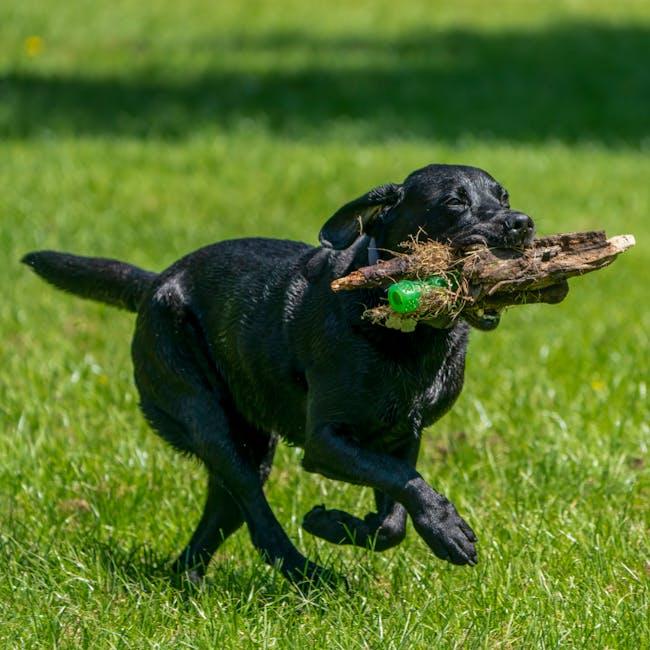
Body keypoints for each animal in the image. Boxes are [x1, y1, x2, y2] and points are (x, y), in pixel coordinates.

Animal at [22, 162, 536, 584]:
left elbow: (393, 517)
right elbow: (402, 481)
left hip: (249, 441)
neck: (400, 328)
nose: (521, 223)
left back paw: (189, 582)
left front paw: (338, 524)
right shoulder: (324, 443)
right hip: (206, 420)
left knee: (220, 517)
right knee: (259, 521)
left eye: (503, 196)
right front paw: (447, 531)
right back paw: (313, 577)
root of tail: (154, 284)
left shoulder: (403, 435)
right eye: (454, 201)